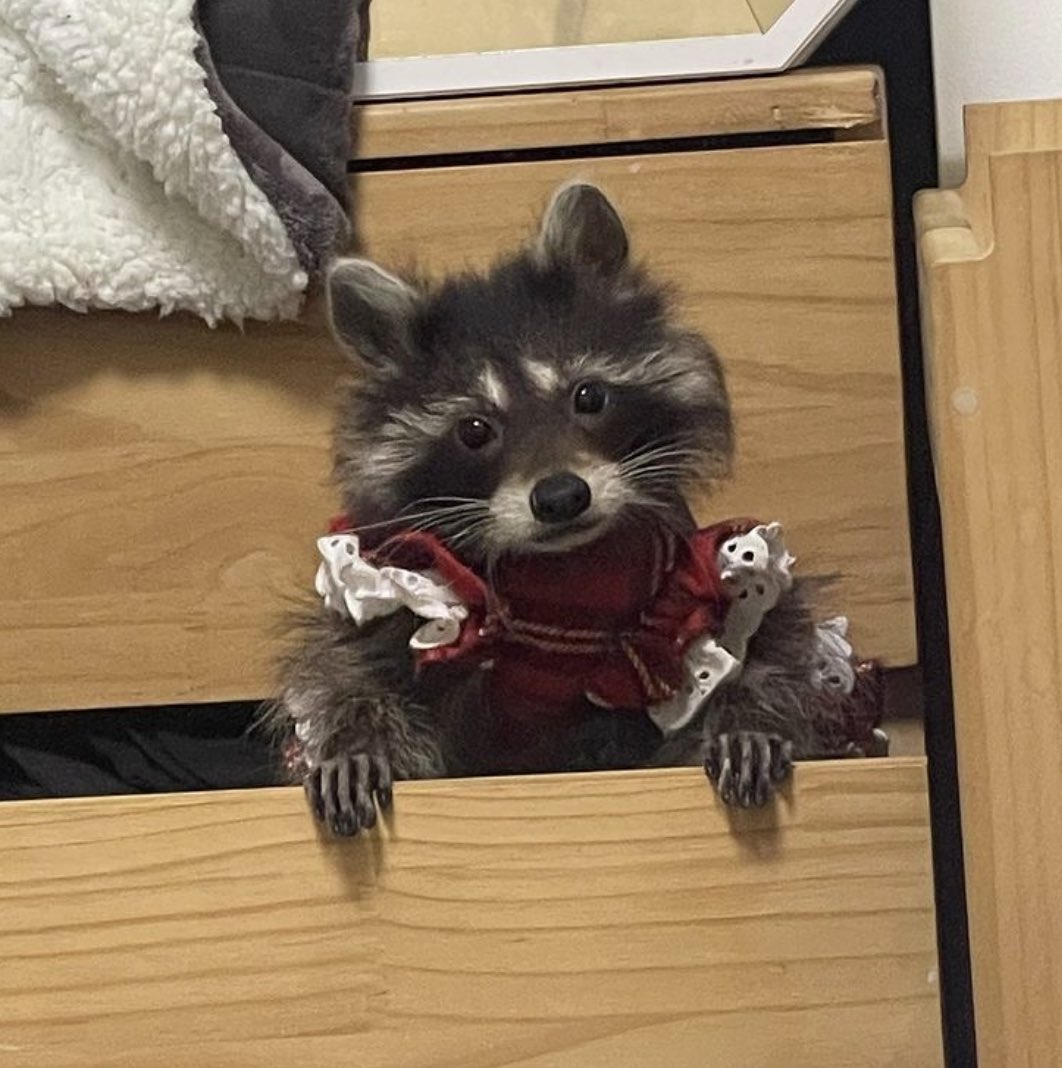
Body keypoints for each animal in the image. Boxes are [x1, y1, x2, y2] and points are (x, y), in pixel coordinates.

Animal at [268, 182, 823, 837]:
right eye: (475, 430)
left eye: (588, 396)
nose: (561, 497)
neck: (565, 572)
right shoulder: (402, 595)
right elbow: (350, 668)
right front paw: (354, 744)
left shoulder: (699, 590)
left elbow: (762, 647)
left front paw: (745, 720)